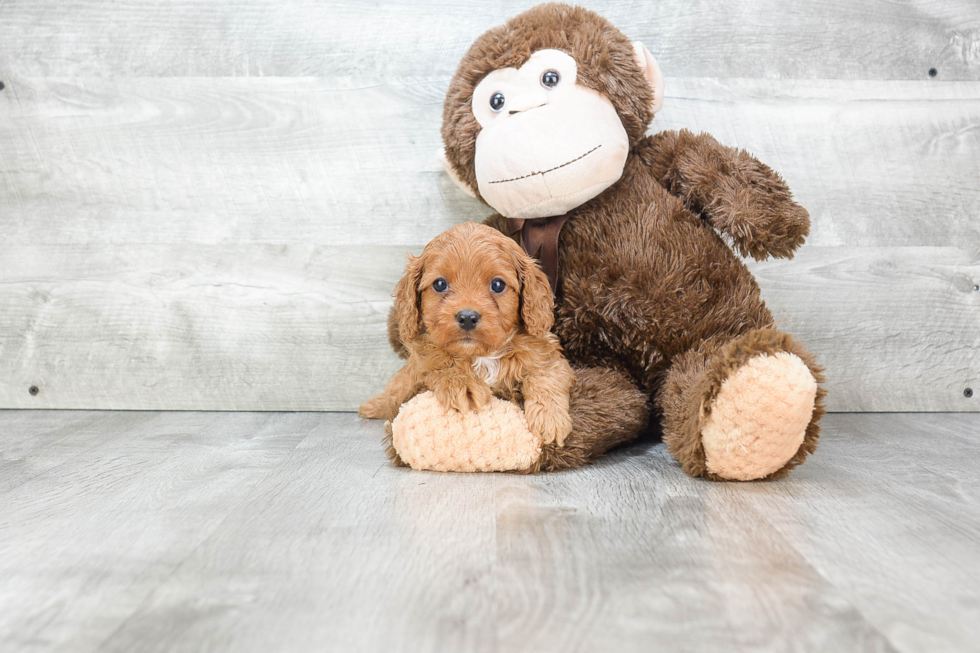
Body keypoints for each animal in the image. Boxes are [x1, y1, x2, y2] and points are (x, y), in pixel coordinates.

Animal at [360, 222, 576, 446]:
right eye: (440, 284)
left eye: (497, 284)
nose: (467, 317)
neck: (482, 355)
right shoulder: (420, 363)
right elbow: (435, 364)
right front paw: (463, 384)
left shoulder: (548, 357)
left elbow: (545, 376)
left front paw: (549, 419)